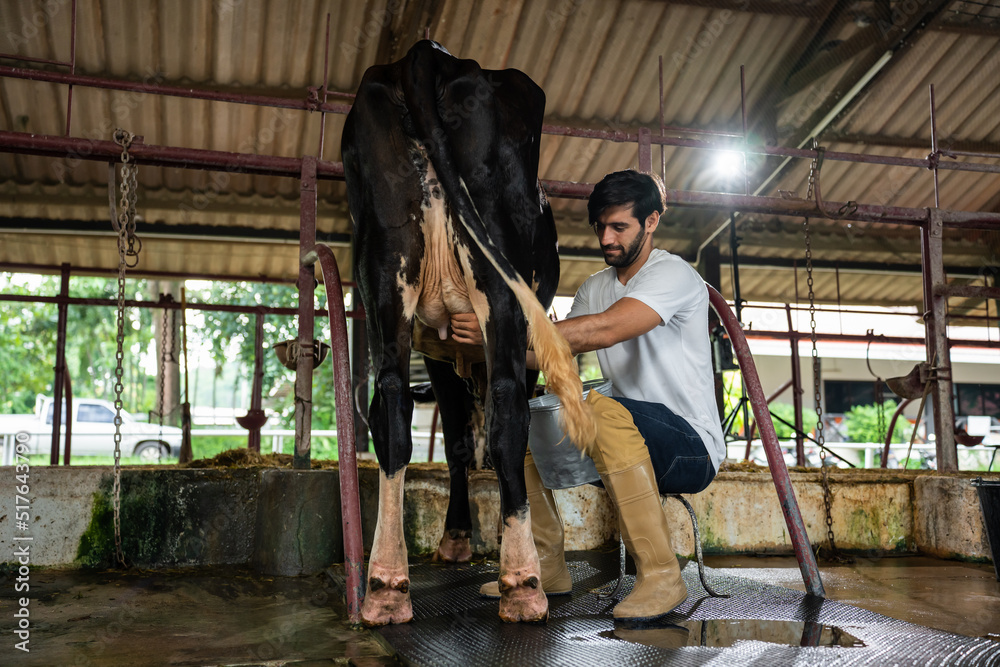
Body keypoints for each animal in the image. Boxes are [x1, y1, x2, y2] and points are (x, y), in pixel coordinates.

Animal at [344, 41, 592, 628]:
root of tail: (426, 52)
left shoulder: (435, 350)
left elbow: (455, 437)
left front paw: (456, 536)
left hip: (384, 269)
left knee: (391, 406)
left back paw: (386, 586)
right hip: (503, 290)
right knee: (507, 408)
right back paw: (521, 583)